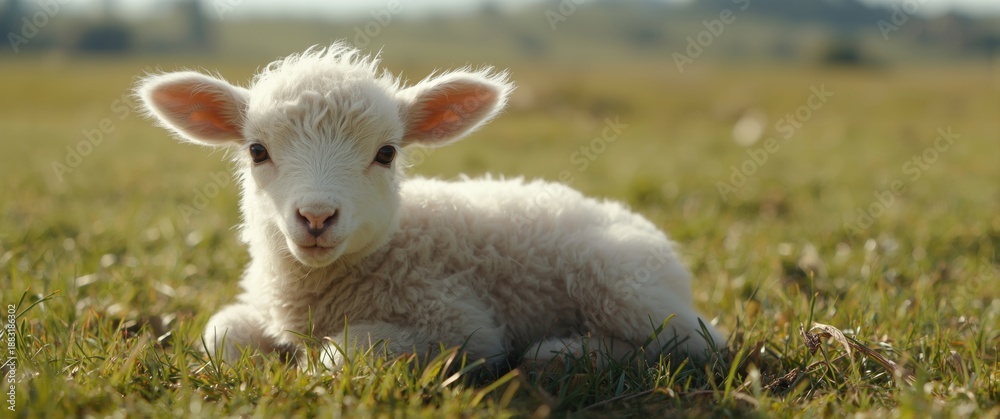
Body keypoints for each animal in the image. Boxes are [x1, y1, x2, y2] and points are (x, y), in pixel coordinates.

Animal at [136, 43, 725, 370]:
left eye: (387, 153)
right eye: (257, 151)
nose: (317, 217)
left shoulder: (460, 323)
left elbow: (348, 351)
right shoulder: (263, 308)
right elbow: (220, 334)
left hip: (622, 282)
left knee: (692, 342)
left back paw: (563, 355)